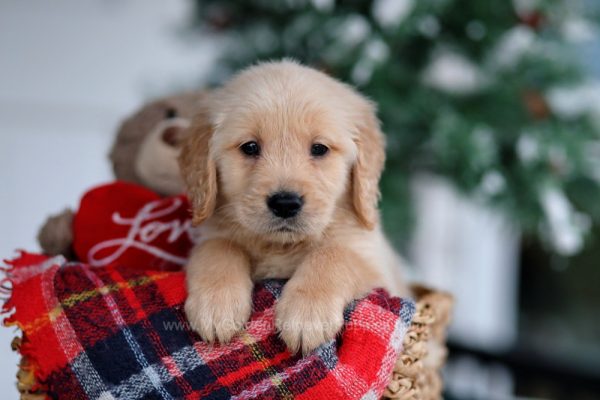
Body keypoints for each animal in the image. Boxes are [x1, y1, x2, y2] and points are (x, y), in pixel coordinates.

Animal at [180, 59, 410, 354]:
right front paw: (216, 305)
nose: (285, 203)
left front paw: (306, 314)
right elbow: (218, 247)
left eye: (319, 148)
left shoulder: (374, 261)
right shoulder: (210, 234)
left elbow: (333, 254)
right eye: (250, 147)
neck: (281, 246)